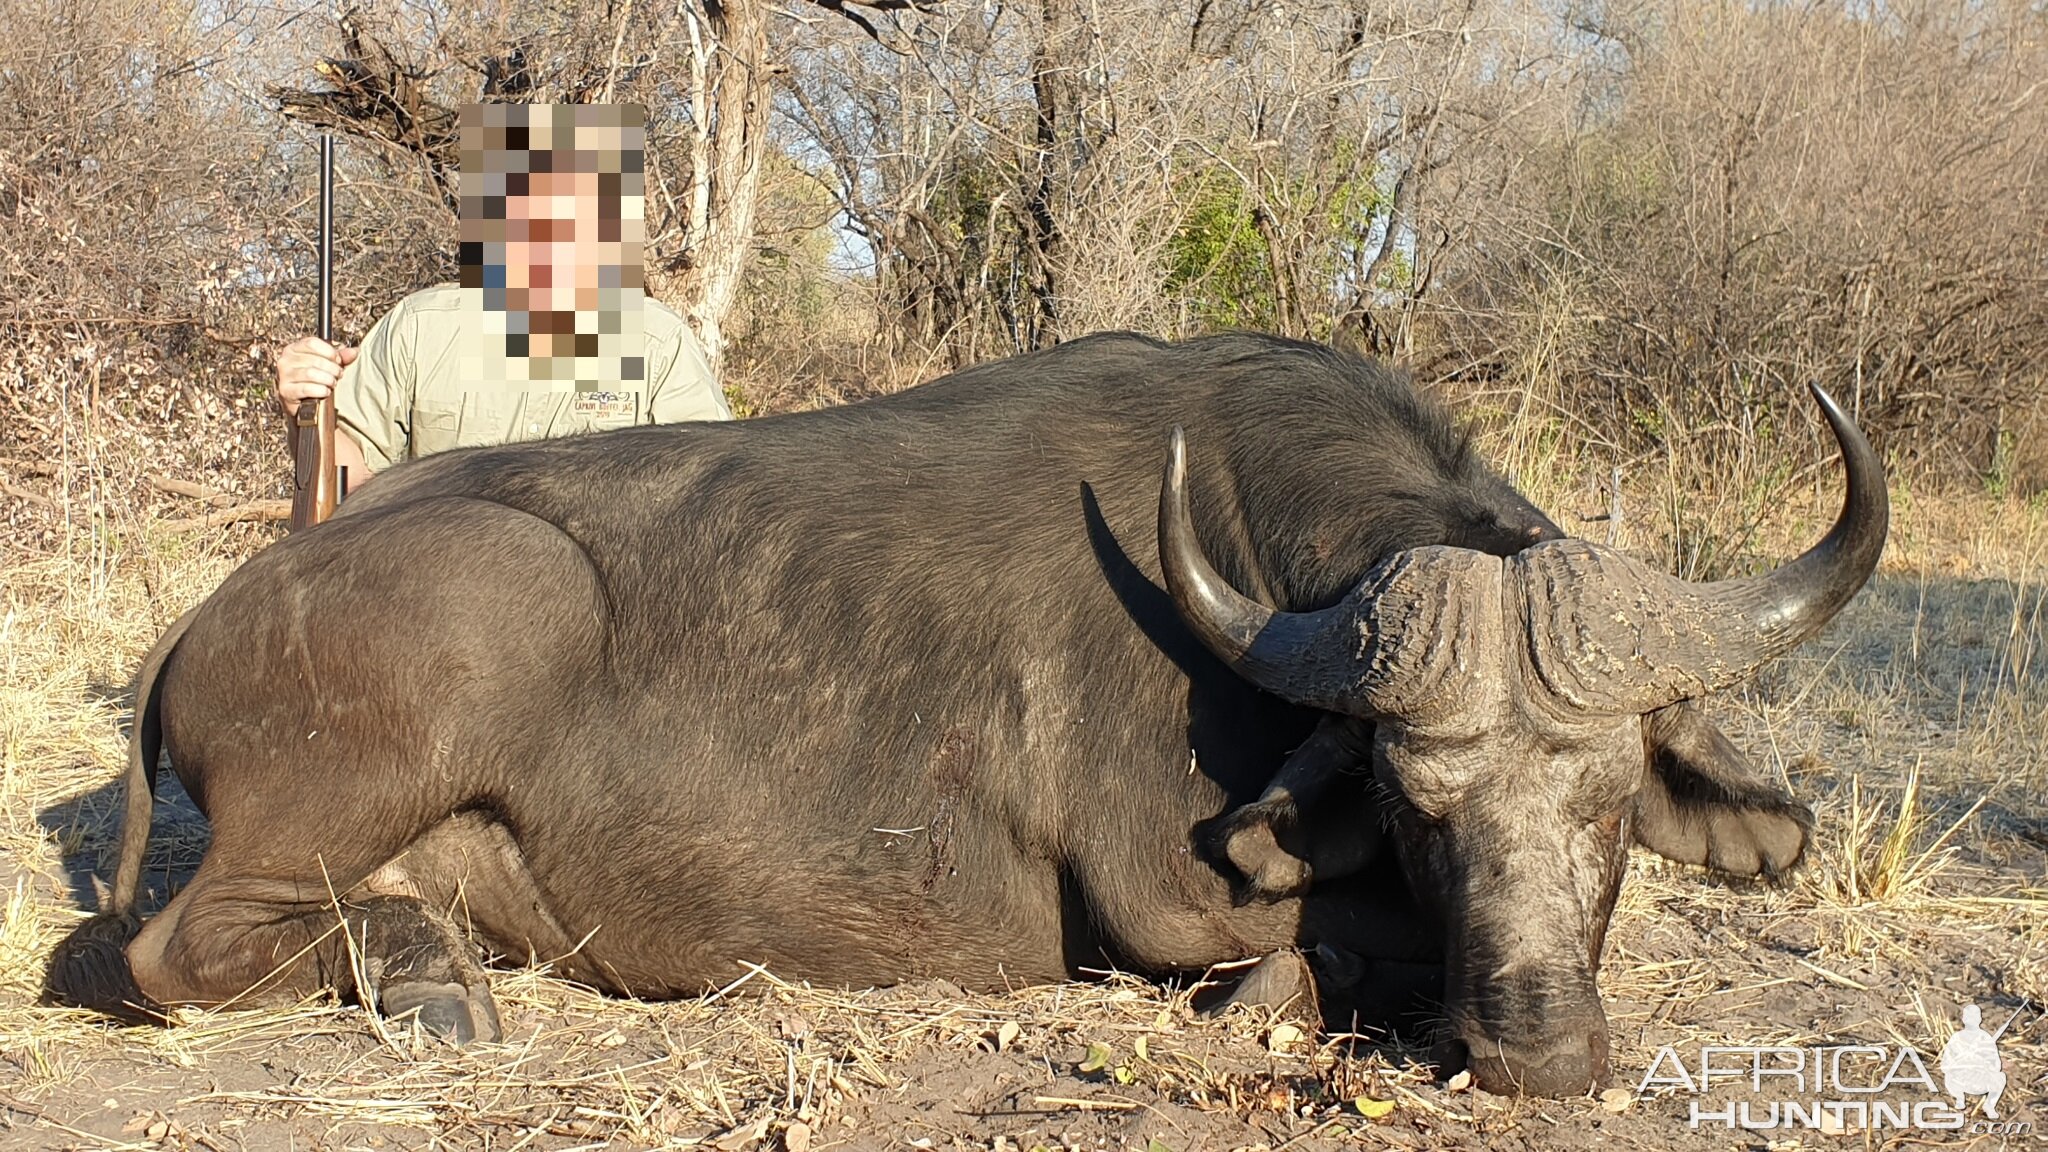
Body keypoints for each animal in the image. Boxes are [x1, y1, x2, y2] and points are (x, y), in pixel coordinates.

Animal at [48, 330, 1875, 1090]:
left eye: (1608, 800)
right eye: (1419, 806)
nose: (1534, 1048)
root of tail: (220, 608)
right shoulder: (1164, 897)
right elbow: (1323, 945)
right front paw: (1279, 1000)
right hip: (480, 617)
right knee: (166, 951)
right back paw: (431, 989)